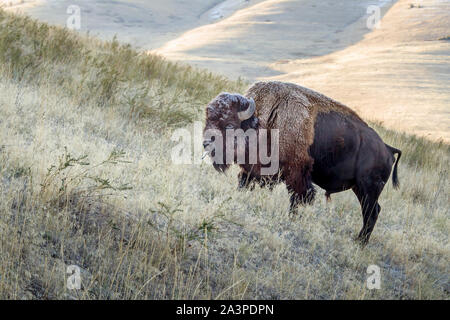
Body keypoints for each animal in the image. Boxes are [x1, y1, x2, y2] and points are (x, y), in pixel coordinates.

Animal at [203, 81, 400, 244]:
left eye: (230, 124)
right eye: (208, 118)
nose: (206, 143)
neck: (265, 121)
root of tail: (387, 149)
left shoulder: (297, 174)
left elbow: (299, 197)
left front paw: (292, 219)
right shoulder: (255, 171)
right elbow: (244, 183)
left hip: (368, 188)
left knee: (371, 213)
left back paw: (360, 242)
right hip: (360, 188)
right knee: (372, 211)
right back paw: (360, 241)